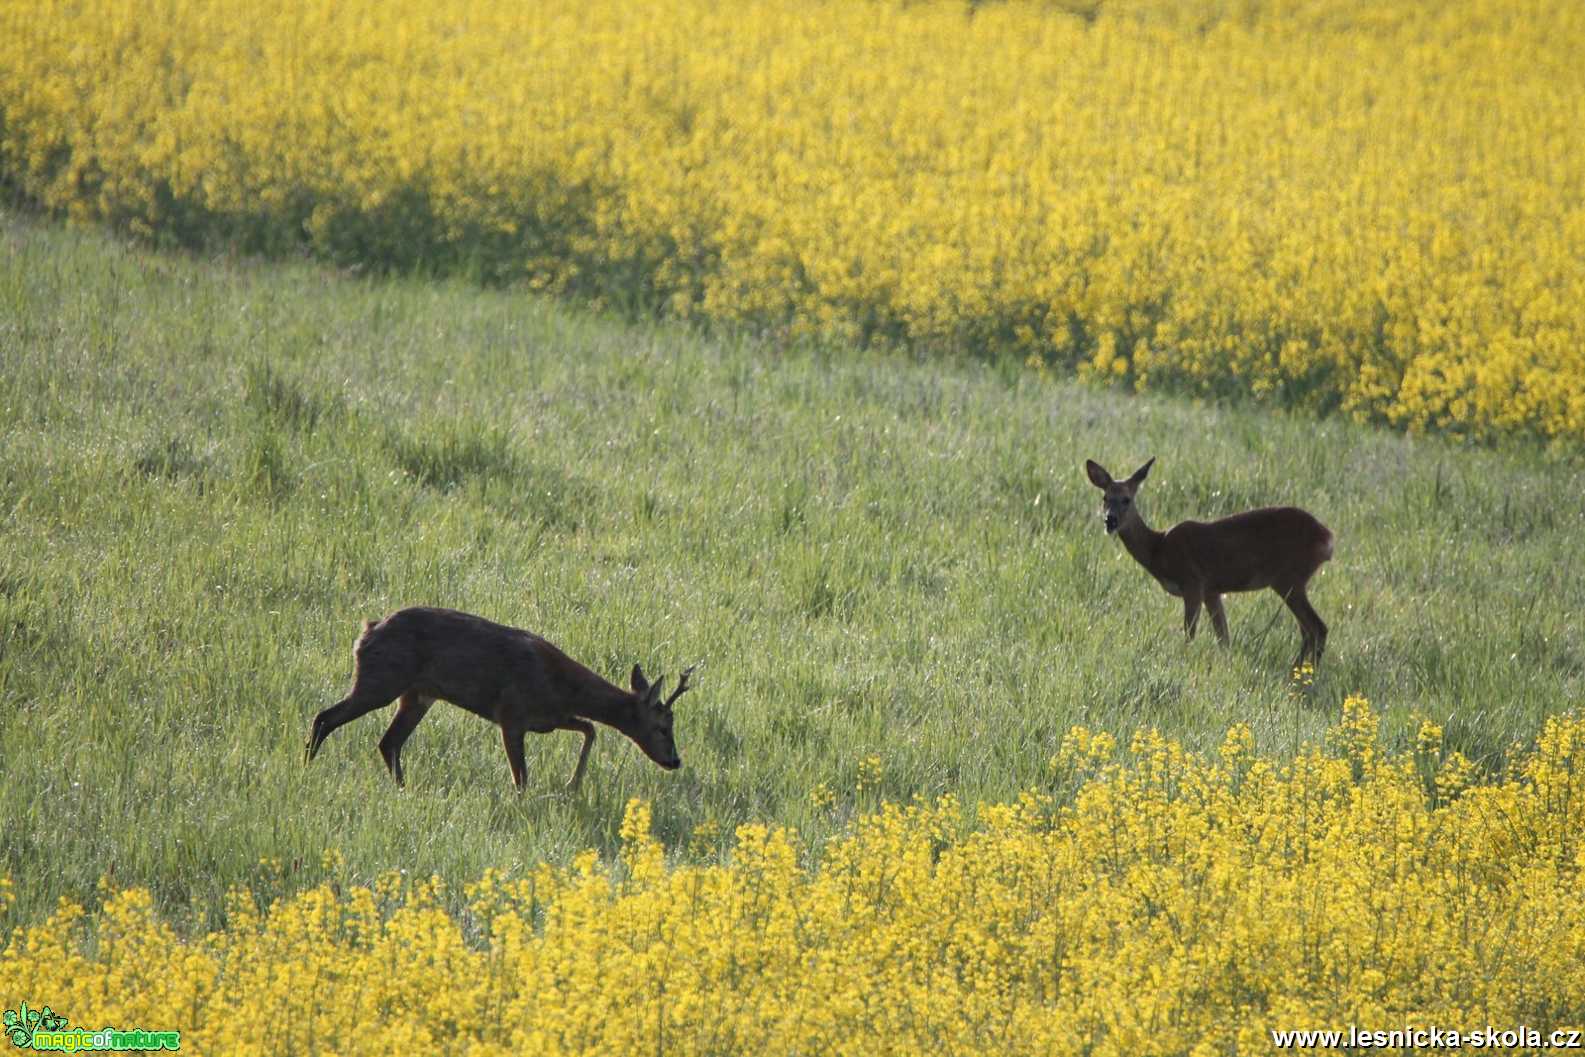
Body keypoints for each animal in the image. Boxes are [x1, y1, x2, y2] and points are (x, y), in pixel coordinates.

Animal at [302, 608, 687, 789]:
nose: (675, 760)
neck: (562, 687)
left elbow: (590, 729)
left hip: (417, 695)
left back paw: (403, 789)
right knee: (324, 717)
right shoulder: (511, 714)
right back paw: (306, 769)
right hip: (382, 680)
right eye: (662, 726)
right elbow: (522, 778)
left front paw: (573, 785)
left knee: (388, 743)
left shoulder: (548, 718)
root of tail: (366, 632)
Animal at [1084, 456, 1331, 668]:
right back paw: (1299, 670)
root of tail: (1328, 537)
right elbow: (1224, 638)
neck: (1159, 549)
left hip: (1289, 578)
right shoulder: (1212, 590)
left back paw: (1306, 675)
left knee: (1317, 628)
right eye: (1105, 498)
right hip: (1292, 581)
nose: (1110, 520)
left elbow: (1189, 634)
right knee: (1307, 630)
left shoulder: (1193, 582)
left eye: (1126, 499)